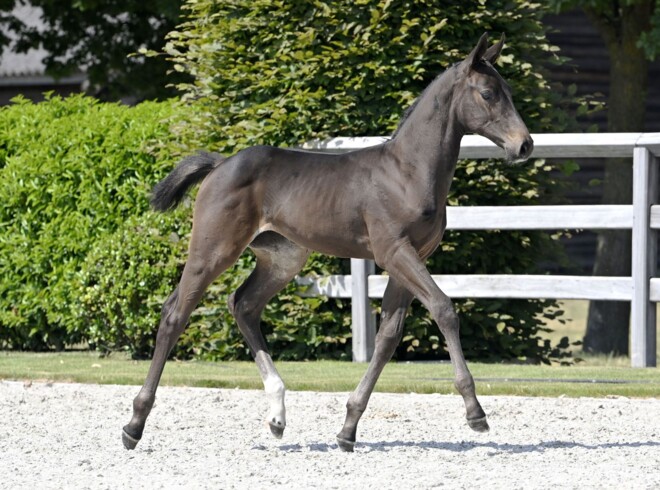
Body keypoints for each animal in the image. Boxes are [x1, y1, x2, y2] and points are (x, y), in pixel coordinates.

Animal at [122, 33, 534, 452]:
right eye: (488, 93)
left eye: (509, 92)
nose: (524, 145)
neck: (407, 172)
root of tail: (220, 165)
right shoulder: (394, 252)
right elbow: (443, 308)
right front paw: (475, 412)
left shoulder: (408, 259)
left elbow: (388, 336)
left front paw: (348, 428)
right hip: (213, 250)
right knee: (175, 314)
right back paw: (134, 425)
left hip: (283, 258)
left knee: (244, 305)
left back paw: (277, 415)